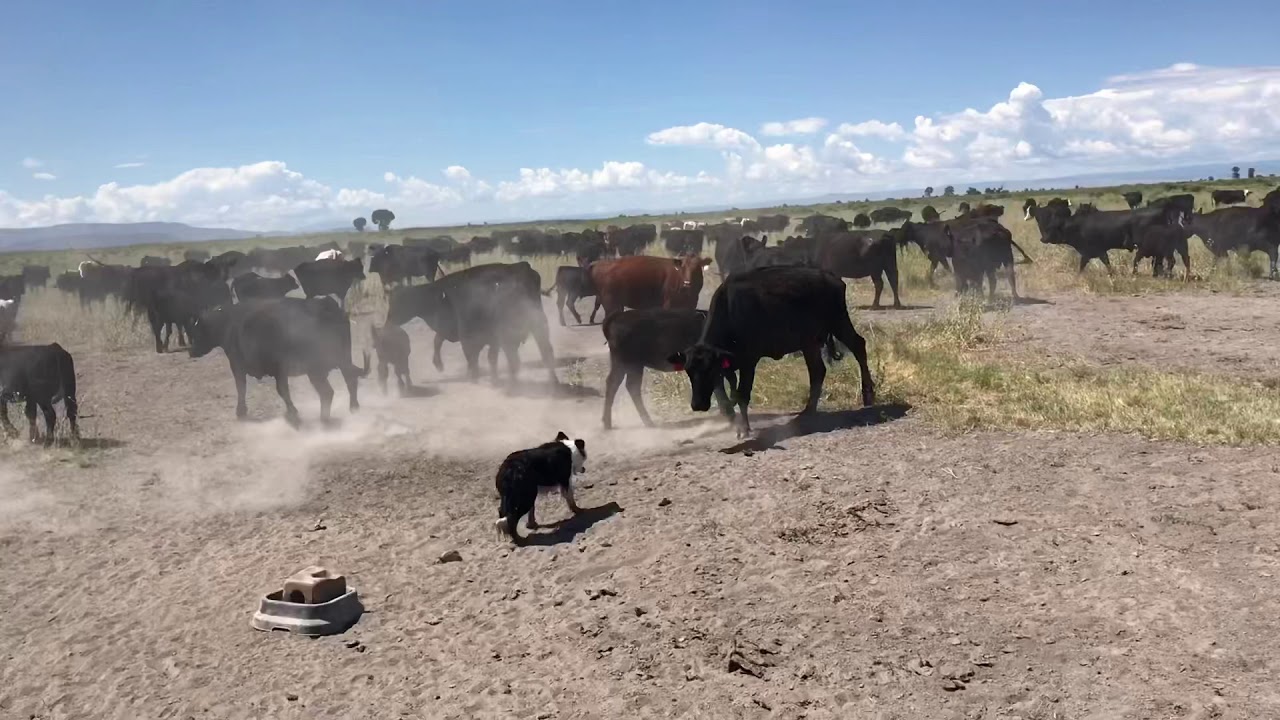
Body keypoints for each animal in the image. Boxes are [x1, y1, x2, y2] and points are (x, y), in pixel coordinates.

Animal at [188, 297, 370, 427]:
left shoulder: (241, 366)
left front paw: (242, 411)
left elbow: (244, 388)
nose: (191, 351)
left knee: (327, 392)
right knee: (349, 381)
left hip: (316, 370)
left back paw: (324, 419)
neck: (228, 324)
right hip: (342, 360)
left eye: (197, 330)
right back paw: (353, 408)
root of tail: (325, 306)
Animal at [385, 262, 557, 384]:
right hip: (538, 325)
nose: (387, 322)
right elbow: (439, 341)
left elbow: (472, 356)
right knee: (545, 352)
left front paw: (473, 377)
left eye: (398, 303)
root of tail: (520, 266)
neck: (438, 295)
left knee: (516, 359)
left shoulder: (468, 336)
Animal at [667, 265, 876, 438]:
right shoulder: (725, 369)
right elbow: (726, 399)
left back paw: (868, 394)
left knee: (859, 346)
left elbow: (742, 395)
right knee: (818, 371)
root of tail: (831, 277)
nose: (697, 405)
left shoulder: (749, 363)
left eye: (708, 369)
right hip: (809, 343)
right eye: (689, 371)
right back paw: (808, 411)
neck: (731, 311)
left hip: (839, 322)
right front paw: (735, 423)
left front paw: (744, 428)